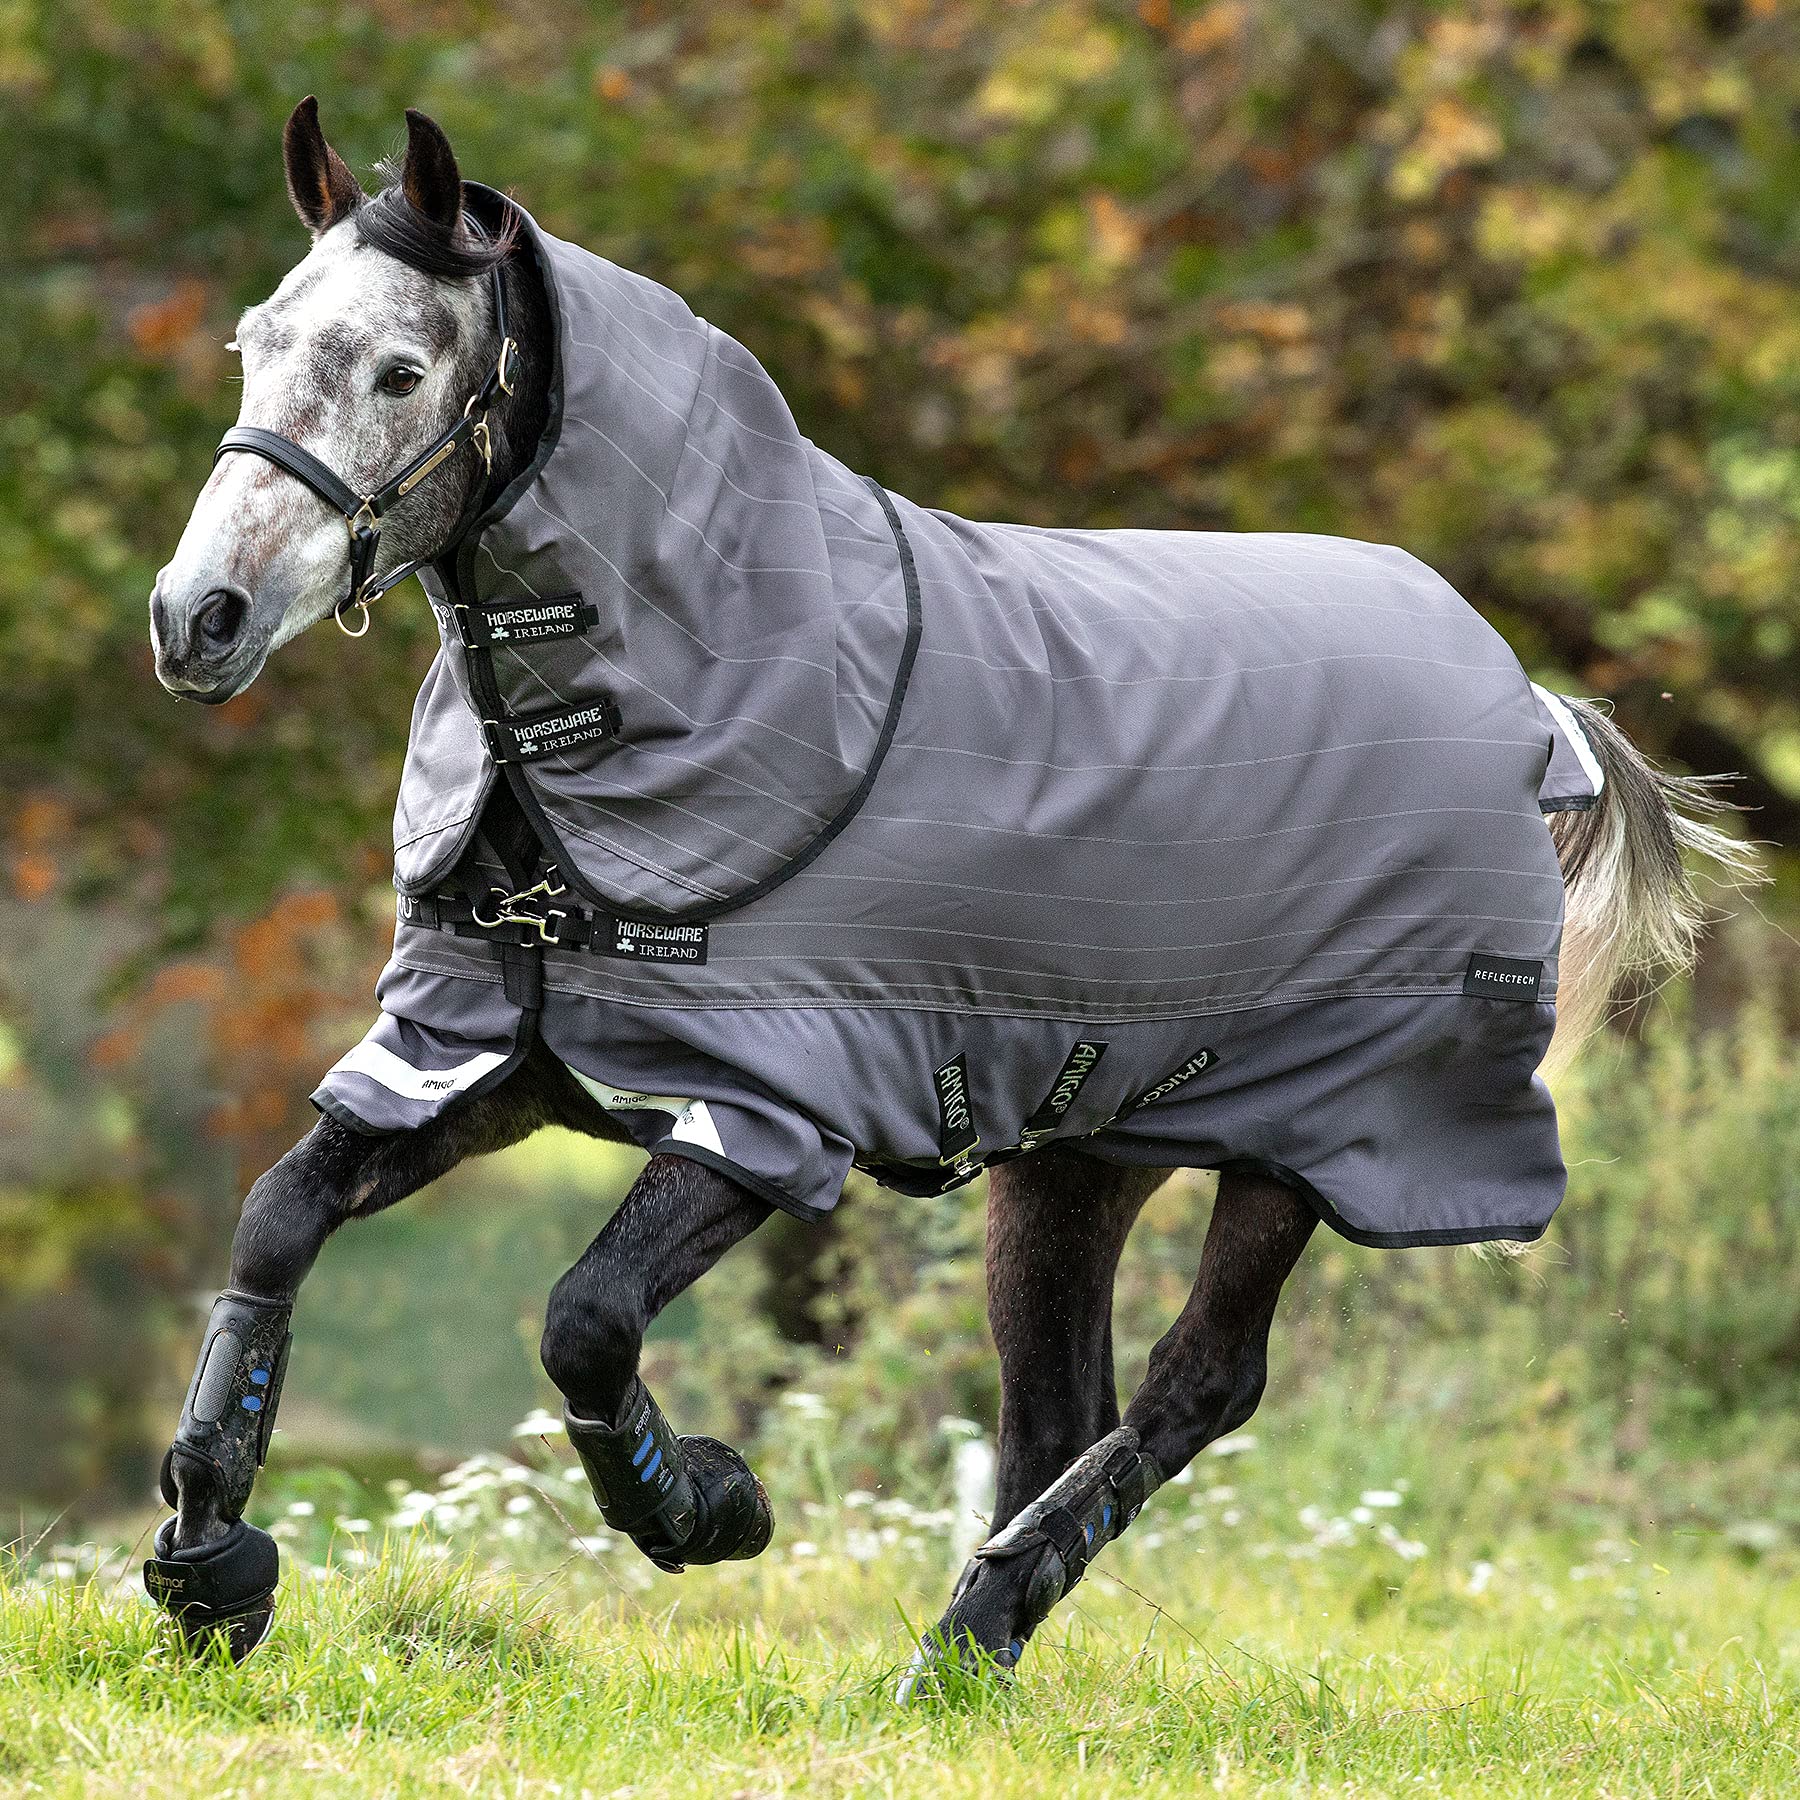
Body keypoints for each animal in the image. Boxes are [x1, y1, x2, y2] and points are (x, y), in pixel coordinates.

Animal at [143, 100, 1751, 1683]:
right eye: (253, 343)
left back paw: (969, 1627)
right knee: (1055, 1408)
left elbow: (586, 1321)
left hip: (1313, 1142)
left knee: (1197, 1384)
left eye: (401, 370)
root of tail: (1530, 708)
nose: (195, 617)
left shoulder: (771, 1107)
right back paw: (966, 1659)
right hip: (1082, 1152)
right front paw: (210, 1563)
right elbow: (277, 1222)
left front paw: (708, 1506)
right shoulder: (482, 1058)